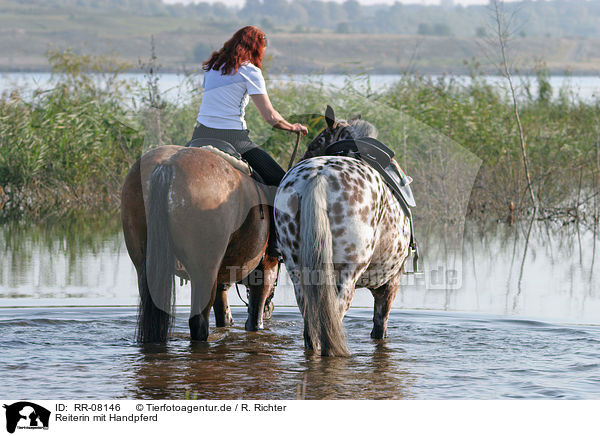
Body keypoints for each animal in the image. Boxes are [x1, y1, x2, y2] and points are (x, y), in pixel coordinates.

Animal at [122, 145, 282, 342]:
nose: (270, 309)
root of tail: (167, 165)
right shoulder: (265, 271)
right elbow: (254, 321)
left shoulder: (221, 280)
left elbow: (223, 316)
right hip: (204, 272)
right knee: (199, 323)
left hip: (144, 266)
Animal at [274, 107, 410, 356]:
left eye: (313, 144)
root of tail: (318, 176)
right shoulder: (389, 287)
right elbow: (380, 330)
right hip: (346, 280)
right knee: (331, 324)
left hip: (299, 276)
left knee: (311, 330)